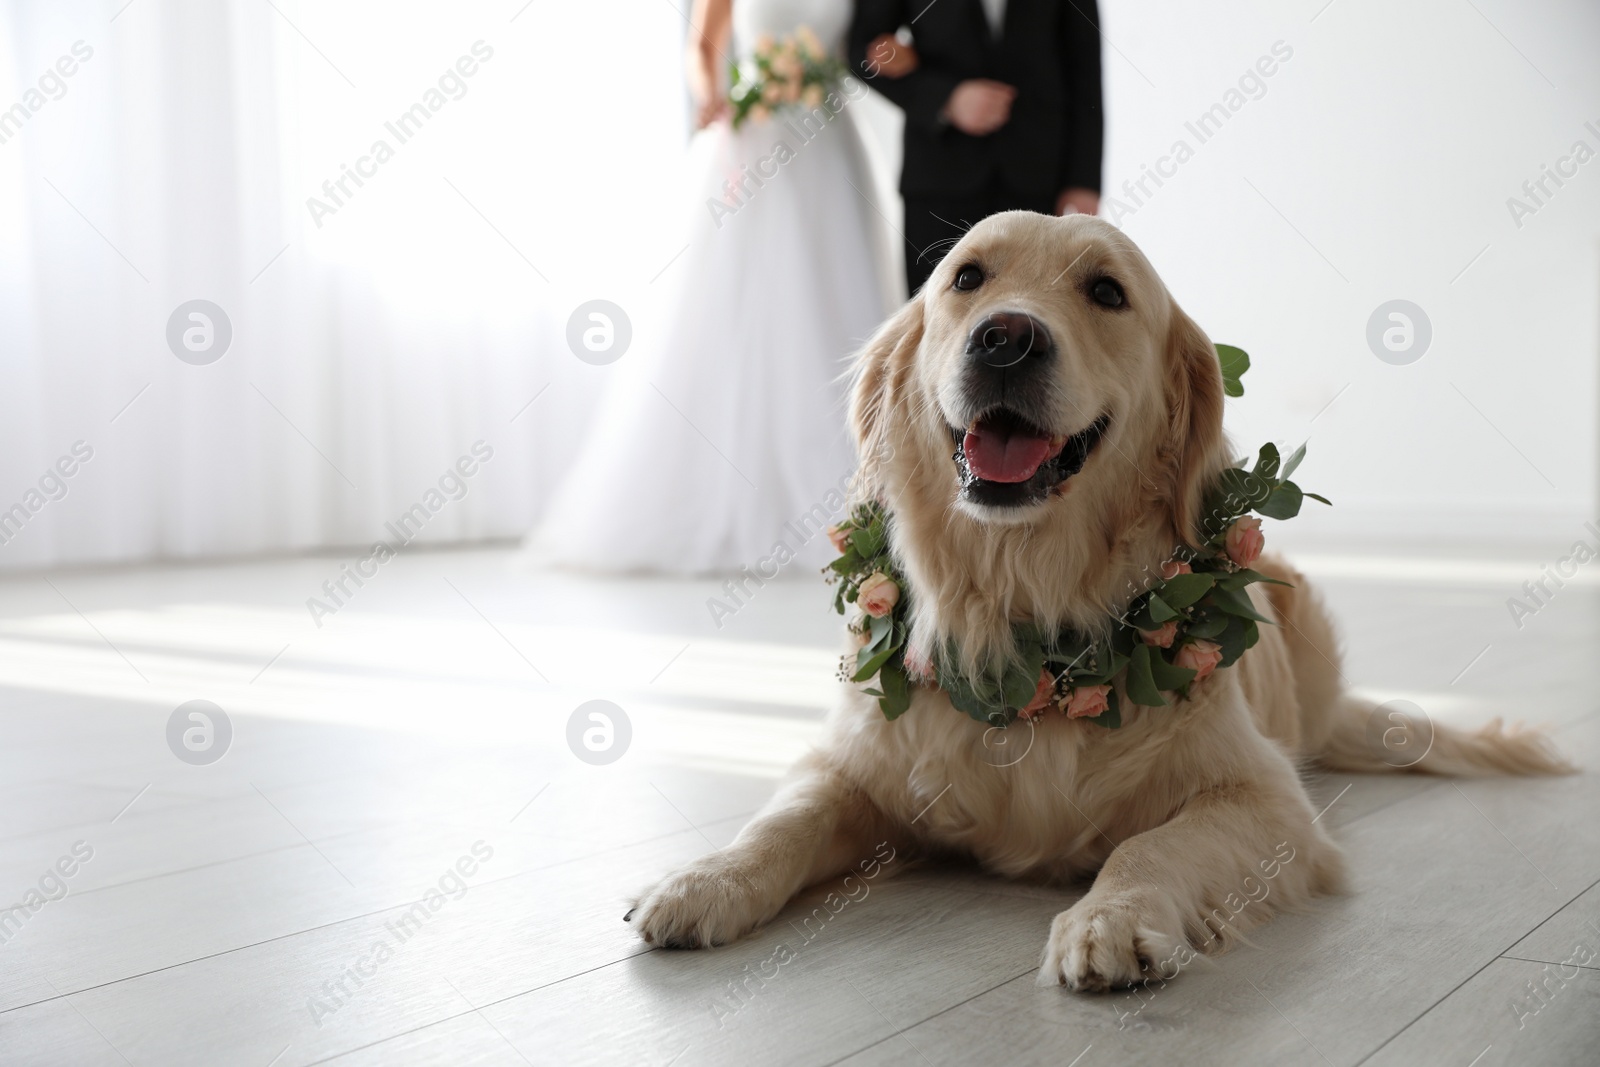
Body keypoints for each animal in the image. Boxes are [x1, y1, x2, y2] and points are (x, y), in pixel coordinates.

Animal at [620, 212, 1561, 998]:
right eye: (967, 278)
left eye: (1107, 291)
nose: (1005, 338)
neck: (1024, 603)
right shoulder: (852, 764)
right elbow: (783, 818)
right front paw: (700, 878)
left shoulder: (1266, 798)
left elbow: (1154, 841)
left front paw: (1112, 919)